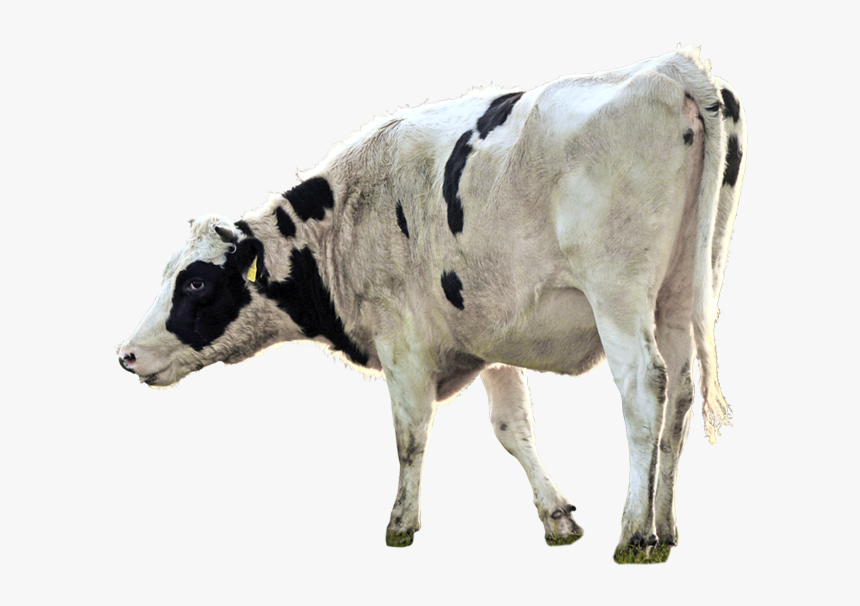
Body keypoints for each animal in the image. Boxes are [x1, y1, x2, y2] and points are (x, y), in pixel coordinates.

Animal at [118, 47, 746, 564]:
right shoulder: (491, 338)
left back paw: (634, 534)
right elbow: (512, 428)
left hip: (618, 292)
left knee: (643, 390)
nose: (126, 354)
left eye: (196, 284)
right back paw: (664, 530)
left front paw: (400, 523)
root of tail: (669, 66)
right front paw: (557, 517)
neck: (342, 221)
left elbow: (409, 433)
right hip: (682, 293)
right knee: (680, 394)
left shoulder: (402, 341)